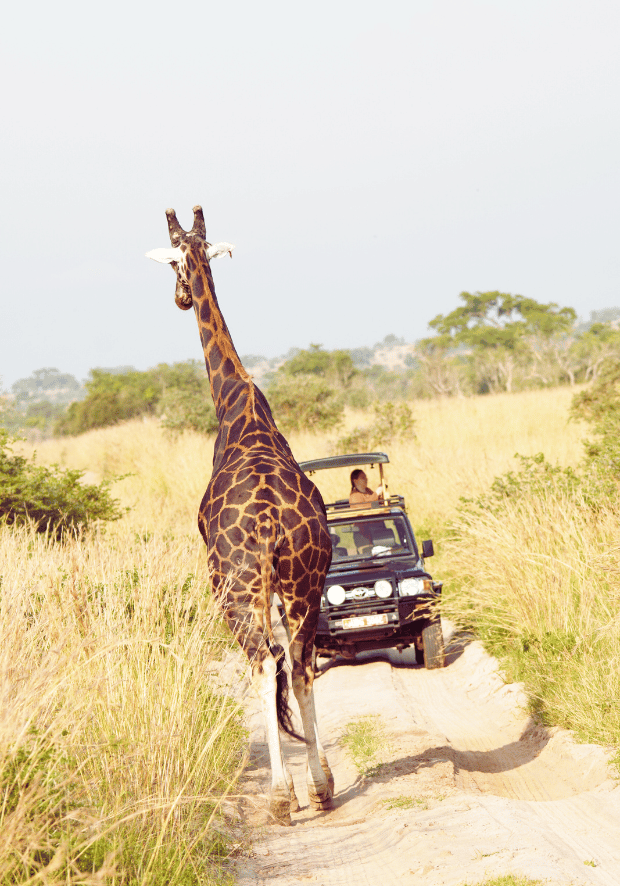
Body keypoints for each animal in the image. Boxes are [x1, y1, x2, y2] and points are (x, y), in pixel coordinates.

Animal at [147, 203, 334, 824]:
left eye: (175, 261)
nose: (181, 298)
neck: (235, 403)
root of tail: (270, 519)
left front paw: (285, 791)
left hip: (236, 587)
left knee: (263, 662)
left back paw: (281, 795)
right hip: (302, 584)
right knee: (299, 663)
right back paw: (322, 786)